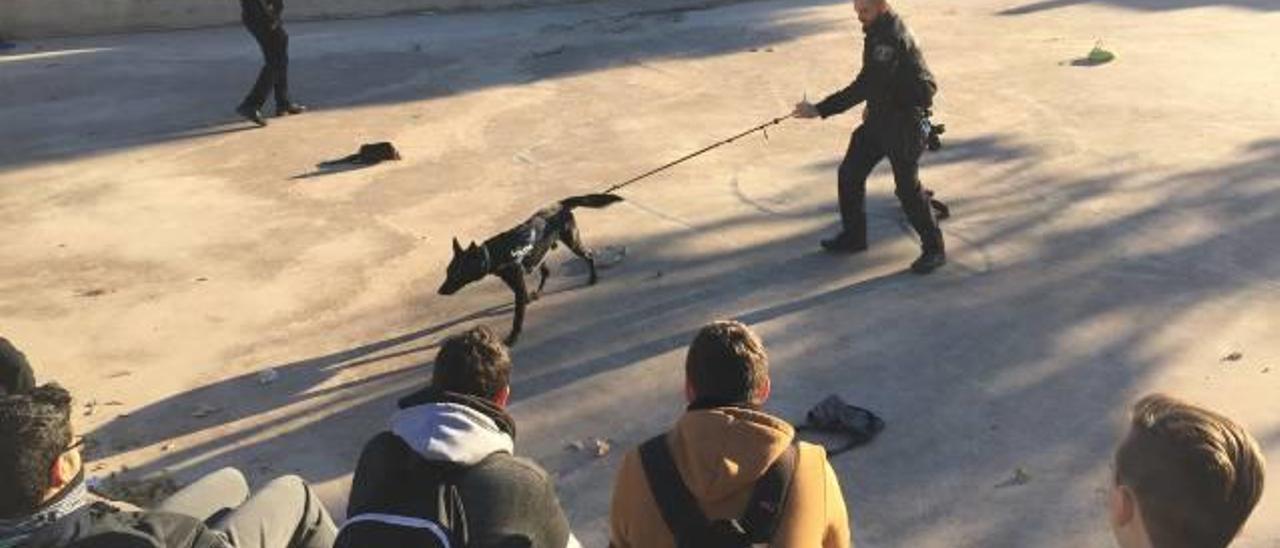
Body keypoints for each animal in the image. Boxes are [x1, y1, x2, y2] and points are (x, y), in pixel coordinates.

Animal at [437, 194, 622, 345]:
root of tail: (560, 204)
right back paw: (538, 293)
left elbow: (518, 317)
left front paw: (513, 338)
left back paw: (593, 278)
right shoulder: (513, 281)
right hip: (541, 254)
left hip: (572, 241)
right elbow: (523, 298)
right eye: (447, 272)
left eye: (457, 273)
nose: (440, 291)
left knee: (589, 255)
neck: (495, 253)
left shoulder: (517, 283)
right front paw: (528, 299)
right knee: (546, 272)